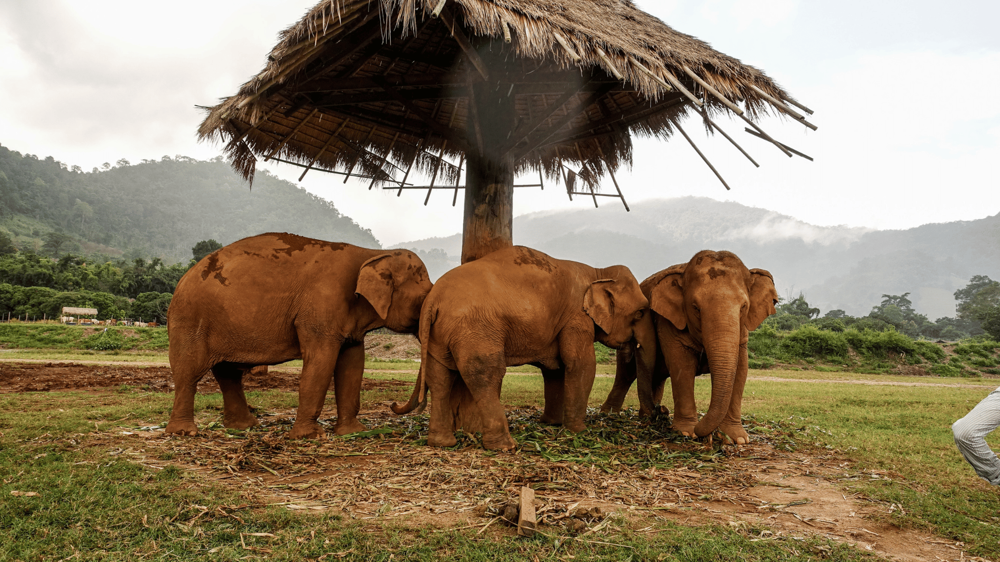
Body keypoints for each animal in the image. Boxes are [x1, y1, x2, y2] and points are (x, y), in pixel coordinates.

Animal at [164, 232, 430, 438]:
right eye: (424, 298)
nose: (393, 405)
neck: (372, 253)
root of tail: (184, 278)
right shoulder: (320, 309)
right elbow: (321, 363)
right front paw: (310, 436)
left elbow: (352, 366)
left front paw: (354, 432)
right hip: (189, 319)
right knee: (189, 371)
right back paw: (184, 432)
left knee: (227, 373)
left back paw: (243, 427)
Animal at [390, 245, 648, 450]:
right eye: (640, 312)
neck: (598, 272)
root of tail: (433, 298)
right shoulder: (576, 317)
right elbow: (581, 364)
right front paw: (578, 432)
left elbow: (555, 369)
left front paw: (551, 423)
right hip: (475, 329)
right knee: (485, 374)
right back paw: (504, 446)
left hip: (439, 334)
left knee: (441, 377)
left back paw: (442, 443)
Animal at [596, 249, 776, 442]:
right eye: (695, 308)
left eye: (743, 307)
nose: (663, 410)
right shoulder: (669, 320)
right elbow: (682, 366)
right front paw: (687, 432)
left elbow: (741, 369)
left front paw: (736, 439)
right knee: (626, 374)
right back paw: (609, 415)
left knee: (656, 377)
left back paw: (649, 417)